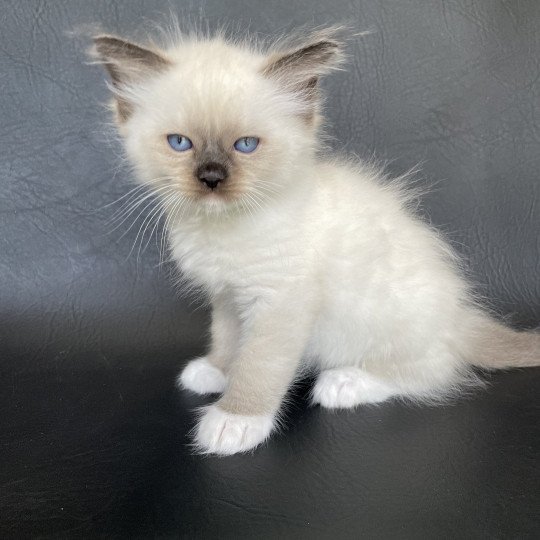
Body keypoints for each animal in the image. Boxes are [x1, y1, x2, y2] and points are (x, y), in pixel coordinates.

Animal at [90, 25, 536, 456]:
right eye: (180, 143)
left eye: (245, 145)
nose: (212, 177)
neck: (224, 229)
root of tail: (460, 316)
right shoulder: (229, 297)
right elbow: (229, 341)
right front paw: (216, 370)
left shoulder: (280, 301)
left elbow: (258, 365)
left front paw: (236, 420)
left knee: (435, 372)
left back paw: (343, 384)